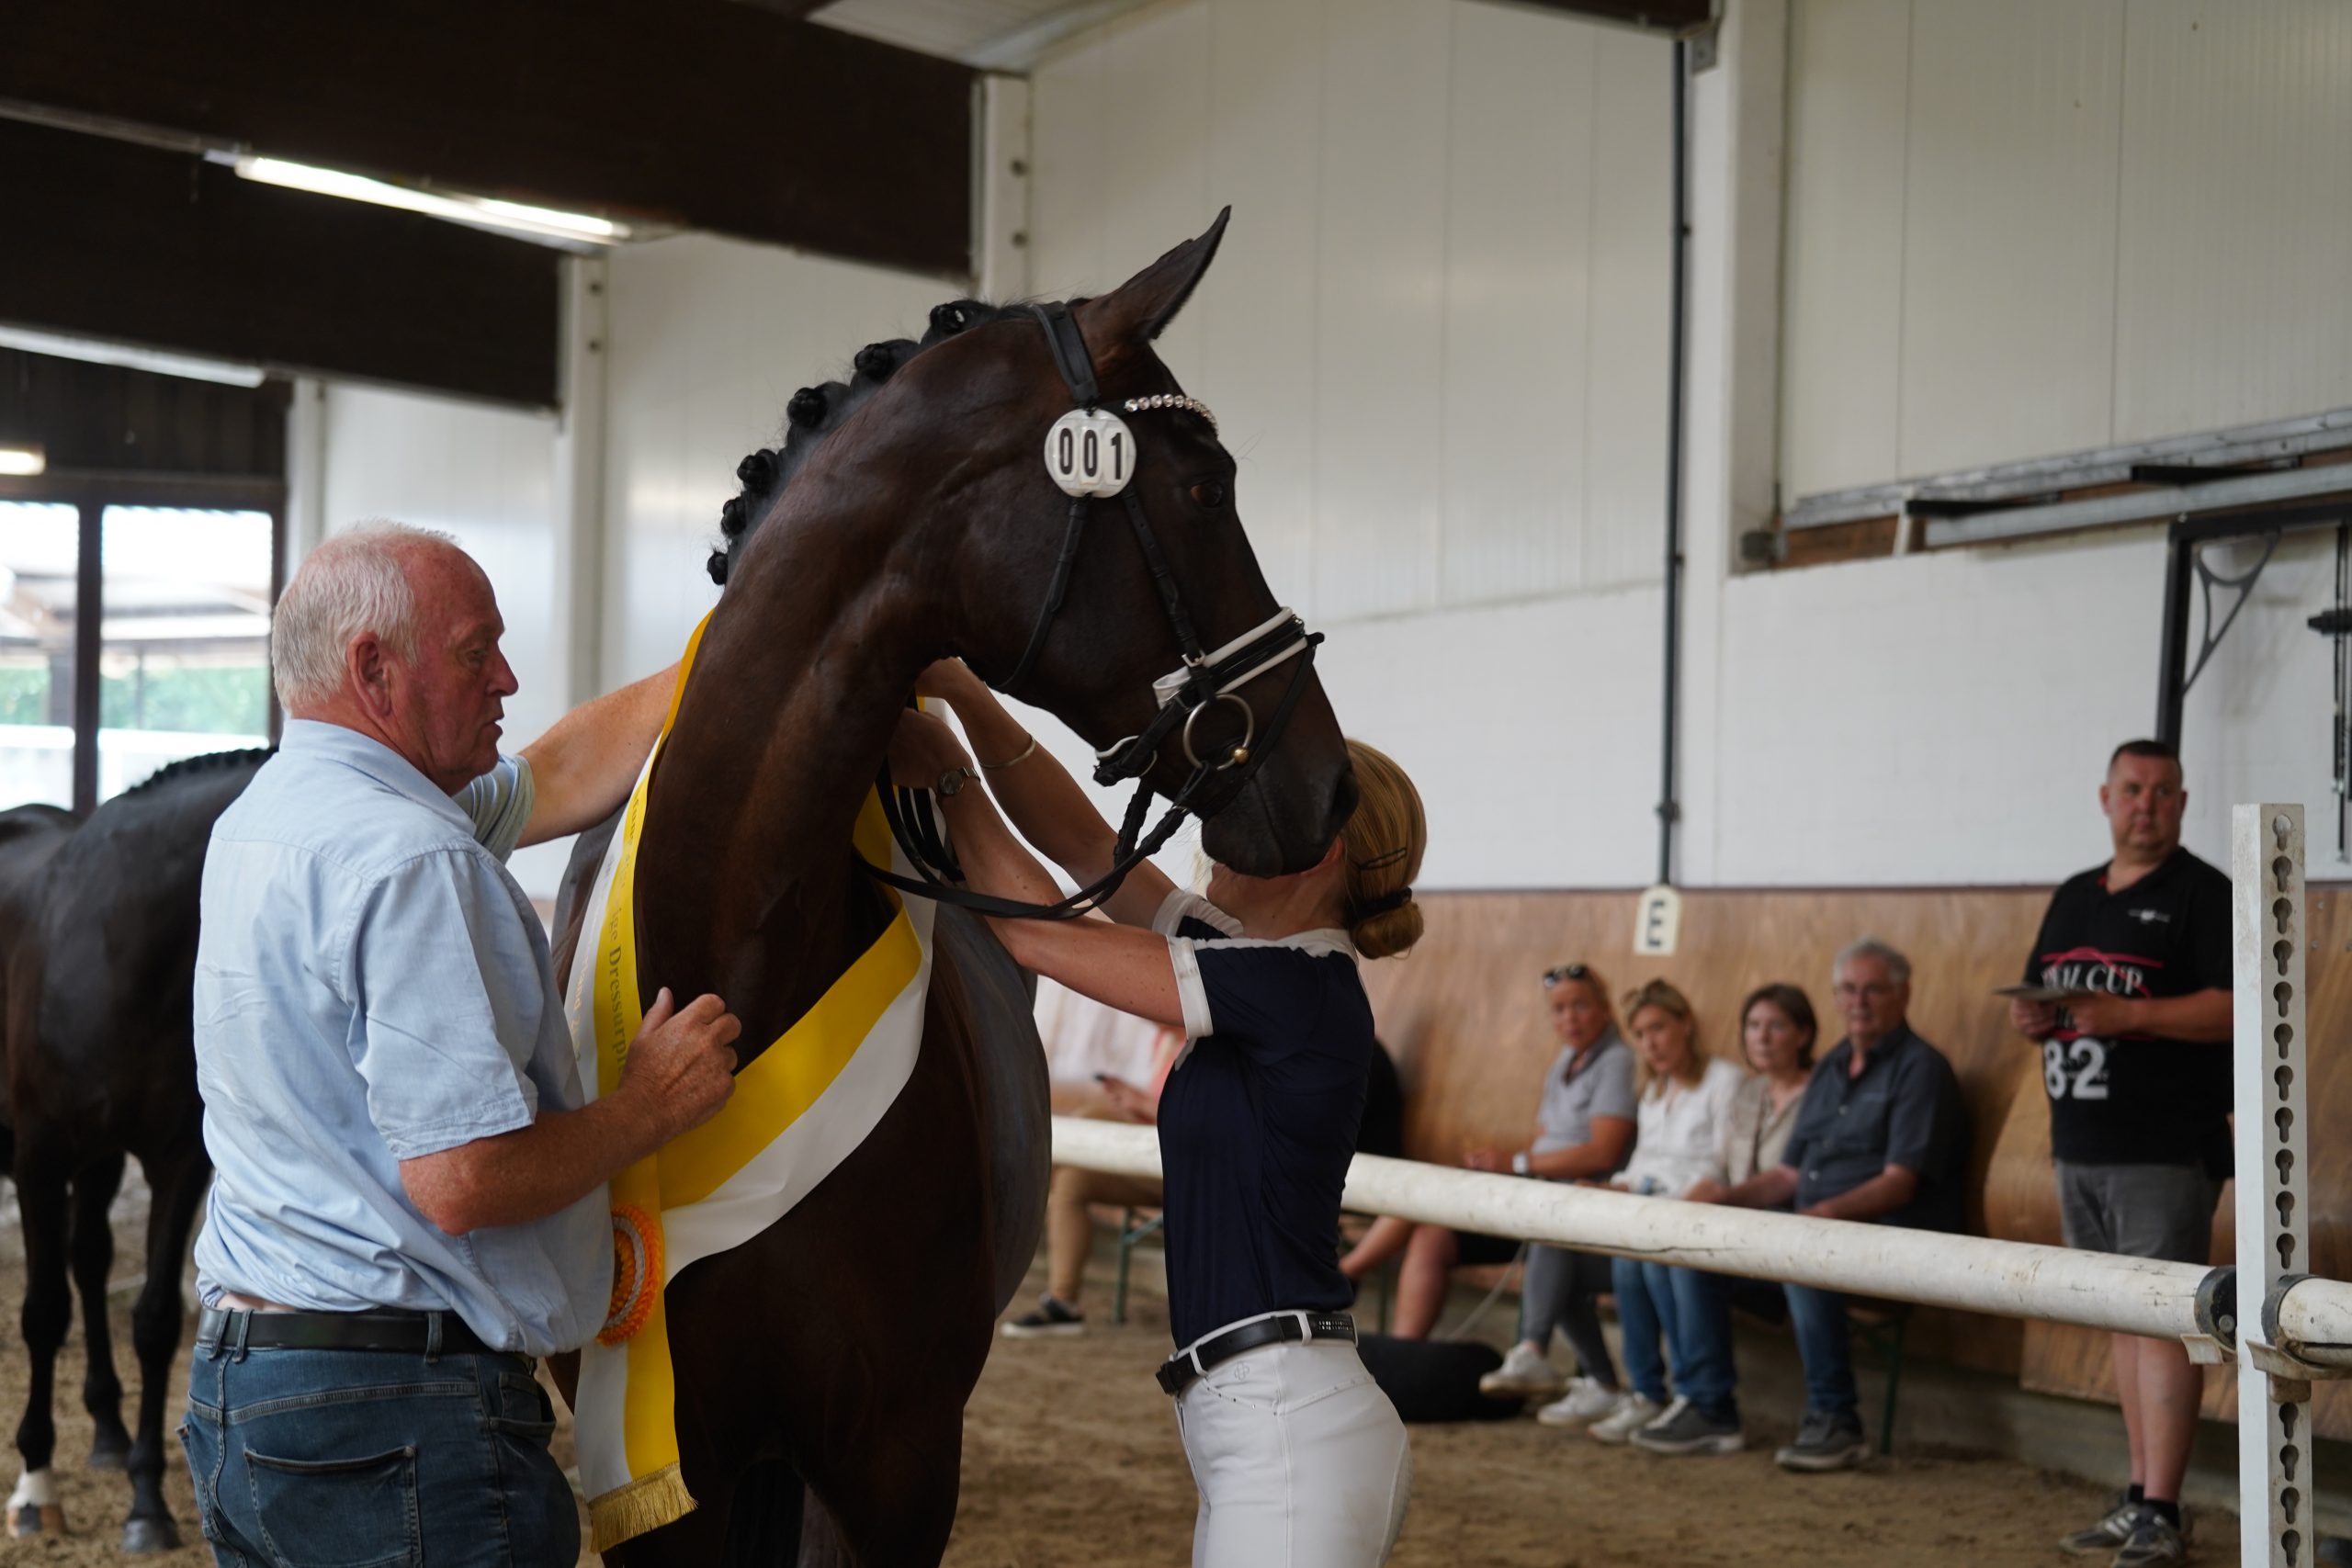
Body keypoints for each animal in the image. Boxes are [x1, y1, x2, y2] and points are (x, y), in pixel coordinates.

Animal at [3, 750, 270, 1553]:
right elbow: (42, 1310)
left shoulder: (178, 1160)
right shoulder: (39, 1155)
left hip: (101, 1159)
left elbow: (153, 1322)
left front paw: (146, 1500)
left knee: (90, 1261)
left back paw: (109, 1432)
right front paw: (35, 1483)